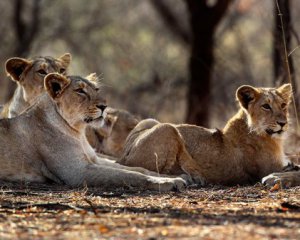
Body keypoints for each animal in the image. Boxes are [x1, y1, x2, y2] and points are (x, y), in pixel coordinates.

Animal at [0, 72, 185, 190]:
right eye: (80, 91)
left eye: (96, 90)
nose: (104, 106)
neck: (78, 131)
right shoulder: (76, 171)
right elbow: (126, 175)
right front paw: (167, 183)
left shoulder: (94, 158)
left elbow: (136, 169)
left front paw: (174, 177)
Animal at [118, 84, 294, 186]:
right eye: (266, 106)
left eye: (283, 105)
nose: (283, 123)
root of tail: (123, 155)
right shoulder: (269, 168)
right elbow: (292, 172)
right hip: (168, 128)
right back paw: (192, 178)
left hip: (150, 121)